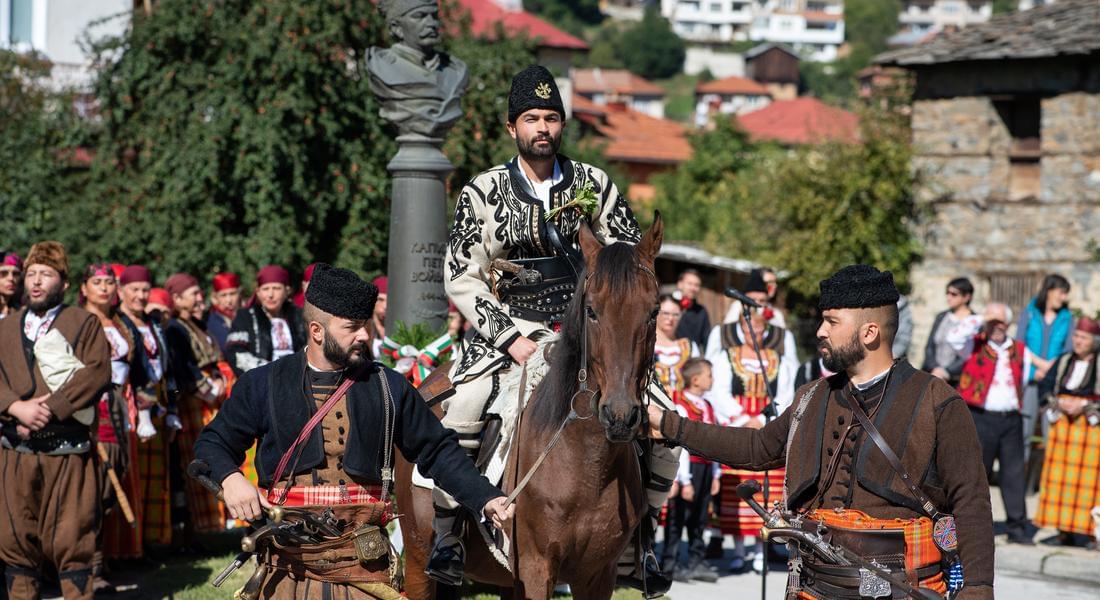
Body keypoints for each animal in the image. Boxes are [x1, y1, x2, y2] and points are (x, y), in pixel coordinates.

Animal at [400, 212, 664, 594]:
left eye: (653, 311)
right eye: (591, 311)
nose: (619, 414)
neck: (587, 466)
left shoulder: (598, 575)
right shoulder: (537, 568)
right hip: (418, 559)